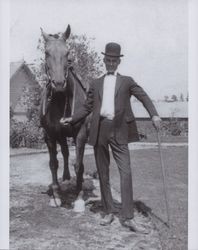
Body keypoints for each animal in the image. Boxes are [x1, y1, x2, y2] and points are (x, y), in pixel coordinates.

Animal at [40, 24, 88, 206]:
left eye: (67, 53)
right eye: (46, 52)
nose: (59, 84)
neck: (61, 100)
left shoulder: (80, 134)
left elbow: (79, 165)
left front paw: (79, 196)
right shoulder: (50, 135)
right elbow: (53, 163)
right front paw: (56, 194)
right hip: (60, 135)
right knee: (65, 153)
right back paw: (65, 178)